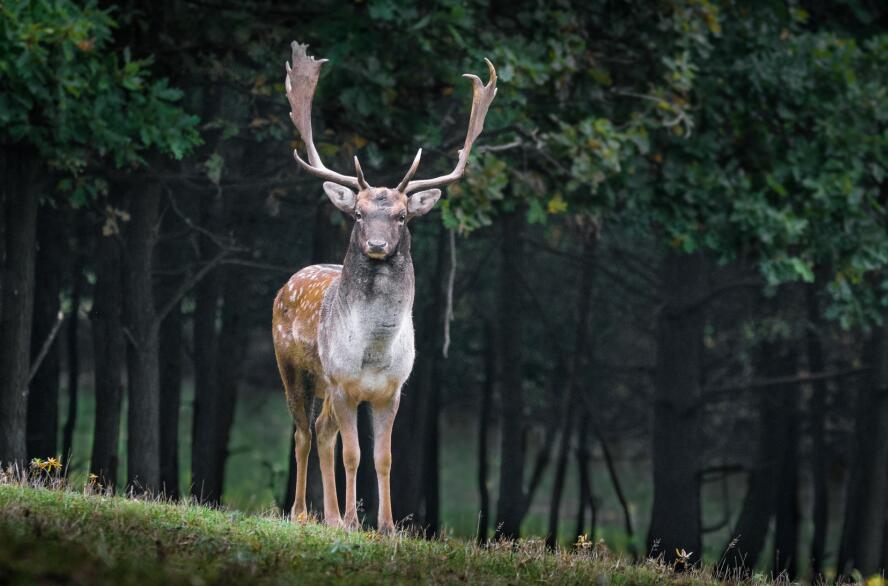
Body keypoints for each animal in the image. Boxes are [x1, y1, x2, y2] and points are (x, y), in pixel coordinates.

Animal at [274, 43, 496, 532]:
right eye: (358, 213)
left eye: (401, 216)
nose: (376, 244)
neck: (374, 352)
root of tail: (288, 282)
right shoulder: (343, 383)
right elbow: (353, 454)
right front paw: (354, 521)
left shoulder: (392, 390)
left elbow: (384, 457)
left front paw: (387, 526)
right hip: (294, 369)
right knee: (302, 433)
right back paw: (302, 513)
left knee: (321, 432)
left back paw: (329, 516)